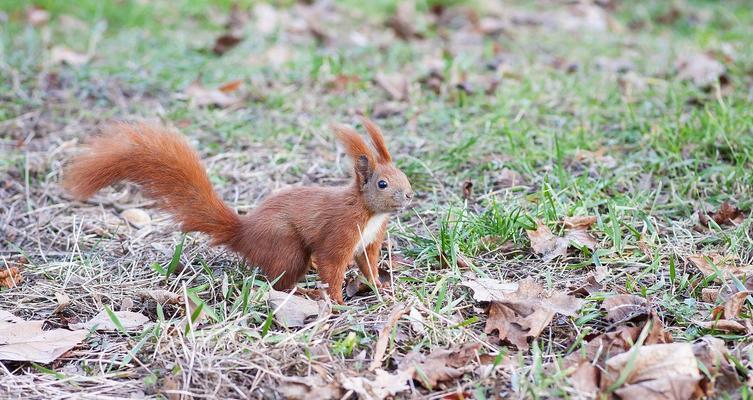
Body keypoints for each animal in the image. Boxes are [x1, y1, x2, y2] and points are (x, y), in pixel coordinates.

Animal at [65, 118, 414, 304]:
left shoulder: (369, 242)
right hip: (286, 246)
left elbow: (368, 264)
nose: (410, 195)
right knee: (280, 283)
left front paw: (381, 286)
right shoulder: (340, 232)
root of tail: (243, 233)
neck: (368, 212)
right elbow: (332, 267)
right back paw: (304, 293)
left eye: (403, 174)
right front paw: (339, 301)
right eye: (382, 184)